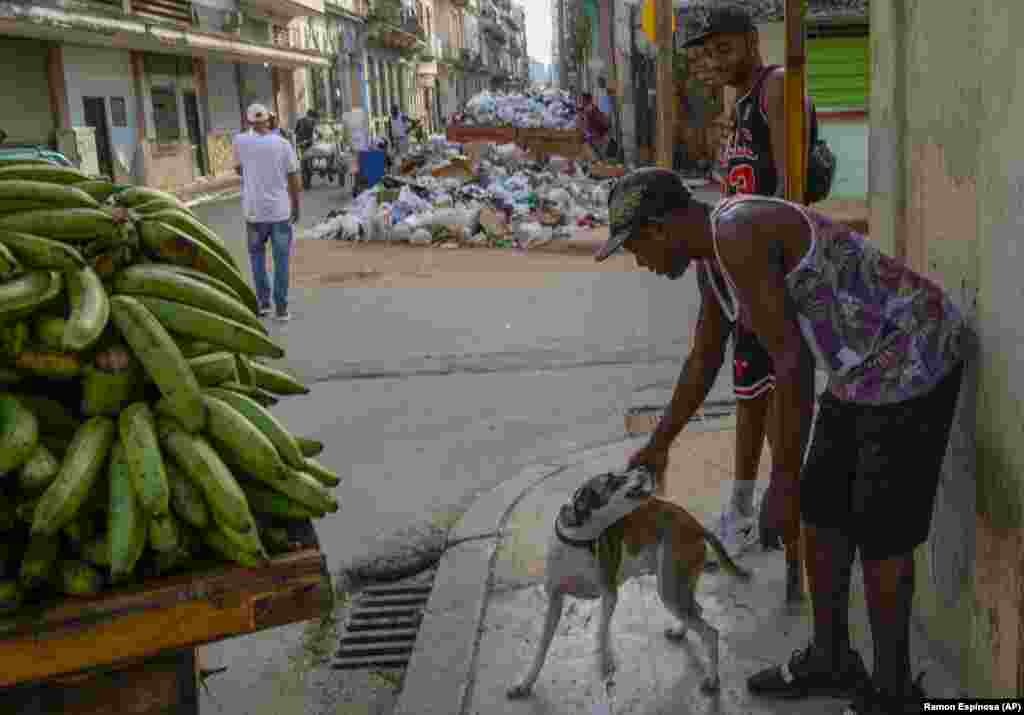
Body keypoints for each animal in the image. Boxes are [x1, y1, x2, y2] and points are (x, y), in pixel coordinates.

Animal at [507, 465, 749, 700]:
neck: (579, 540)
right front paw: (525, 683)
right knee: (696, 610)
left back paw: (712, 679)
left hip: (670, 588)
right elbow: (541, 648)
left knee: (710, 632)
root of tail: (696, 525)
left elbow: (601, 628)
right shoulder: (555, 601)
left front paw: (606, 659)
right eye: (612, 480)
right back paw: (681, 631)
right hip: (677, 586)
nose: (645, 467)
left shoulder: (609, 594)